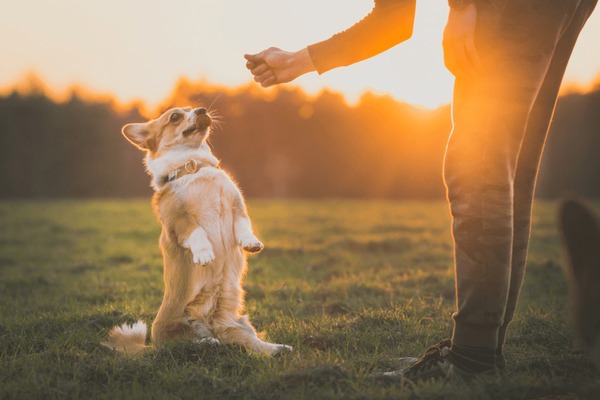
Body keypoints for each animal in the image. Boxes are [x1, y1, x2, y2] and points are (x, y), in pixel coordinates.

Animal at [103, 107, 292, 356]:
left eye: (193, 107)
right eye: (175, 116)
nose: (202, 110)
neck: (192, 167)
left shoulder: (237, 206)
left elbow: (244, 226)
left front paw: (251, 243)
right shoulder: (179, 221)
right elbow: (198, 233)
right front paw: (205, 254)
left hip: (239, 325)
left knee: (254, 344)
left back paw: (277, 348)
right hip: (176, 331)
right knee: (182, 345)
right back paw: (206, 342)